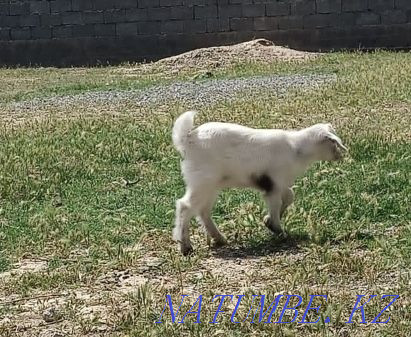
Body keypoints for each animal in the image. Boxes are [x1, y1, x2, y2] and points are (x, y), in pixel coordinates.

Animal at [171, 110, 348, 255]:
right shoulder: (273, 184)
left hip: (210, 185)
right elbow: (276, 203)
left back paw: (219, 239)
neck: (297, 150)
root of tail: (188, 139)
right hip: (202, 181)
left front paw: (268, 220)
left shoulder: (279, 183)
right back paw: (185, 247)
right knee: (185, 206)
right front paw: (278, 229)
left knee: (203, 210)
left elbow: (290, 196)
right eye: (334, 142)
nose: (340, 156)